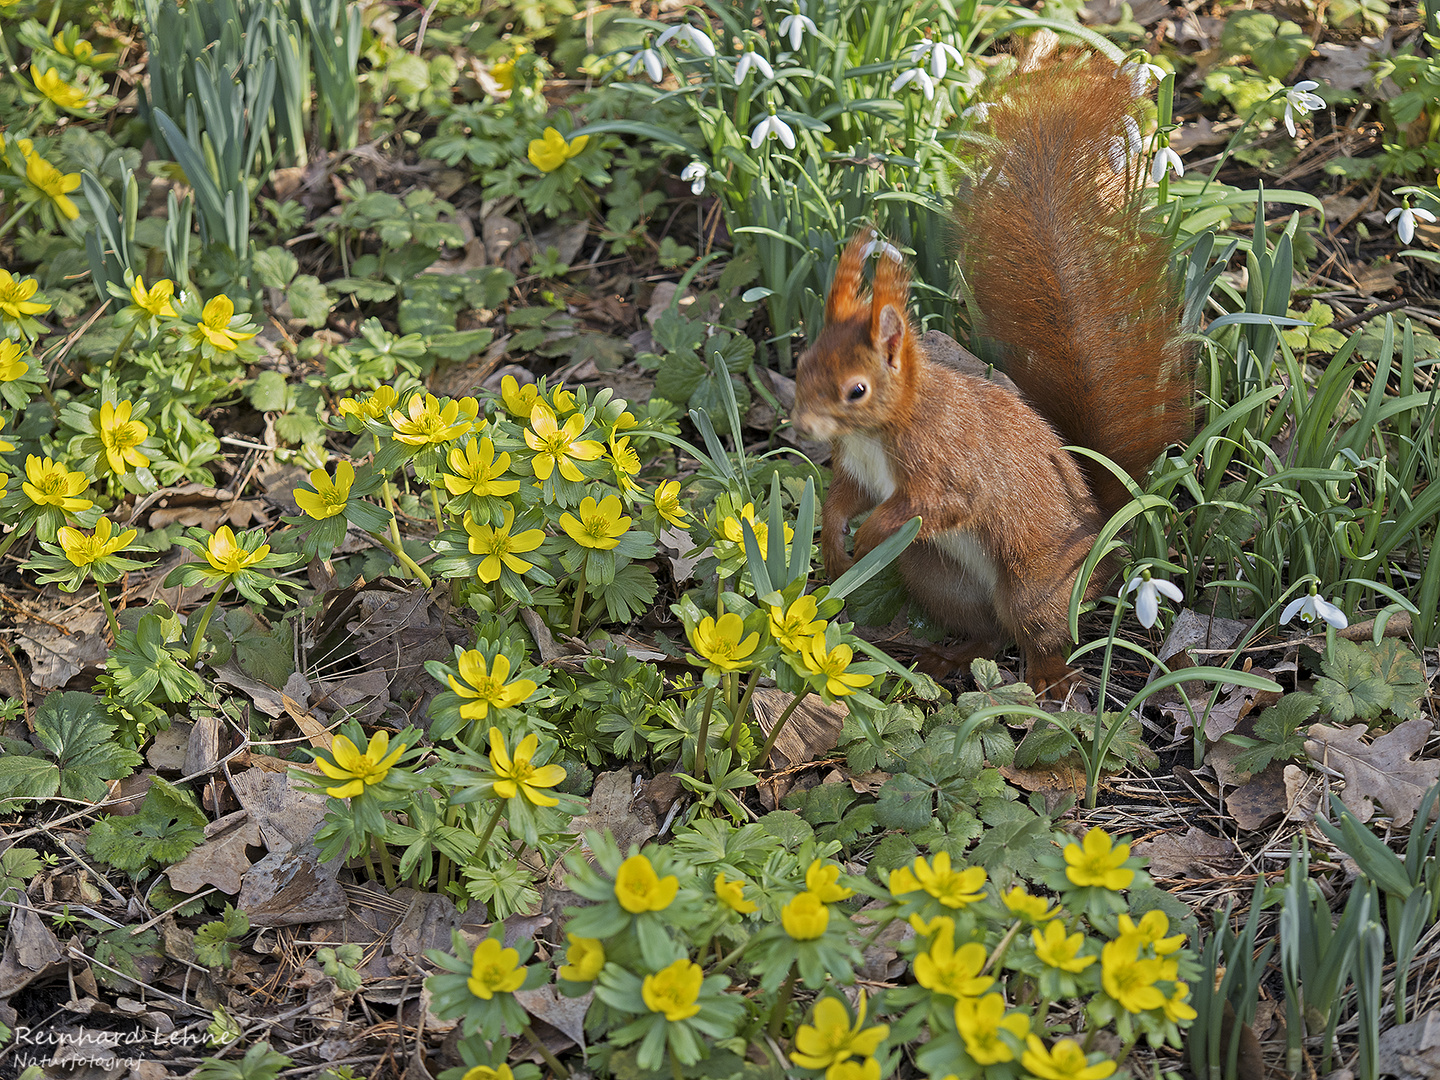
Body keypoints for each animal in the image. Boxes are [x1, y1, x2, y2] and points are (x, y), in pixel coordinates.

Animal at [789, 57, 1192, 702]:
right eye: (801, 365)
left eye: (857, 389)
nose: (800, 426)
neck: (880, 431)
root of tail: (1101, 532)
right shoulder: (855, 467)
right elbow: (840, 498)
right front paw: (829, 541)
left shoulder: (946, 463)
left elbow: (938, 503)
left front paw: (869, 538)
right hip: (938, 576)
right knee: (988, 631)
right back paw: (945, 656)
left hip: (1034, 583)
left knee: (1036, 633)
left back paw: (1048, 677)